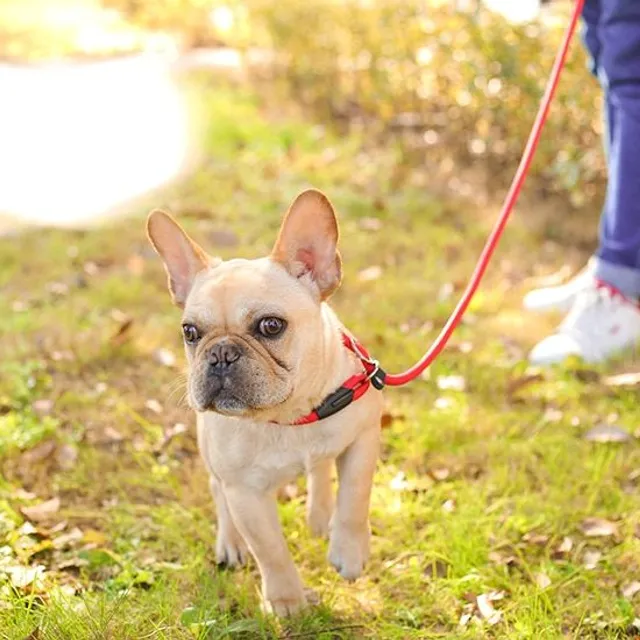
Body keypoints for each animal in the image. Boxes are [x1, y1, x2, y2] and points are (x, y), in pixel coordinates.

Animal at [147, 189, 382, 616]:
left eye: (271, 326)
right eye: (190, 332)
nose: (220, 353)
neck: (290, 417)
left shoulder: (363, 438)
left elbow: (355, 496)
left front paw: (349, 551)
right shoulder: (245, 493)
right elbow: (270, 549)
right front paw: (287, 601)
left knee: (321, 470)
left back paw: (320, 516)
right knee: (217, 490)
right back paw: (231, 543)